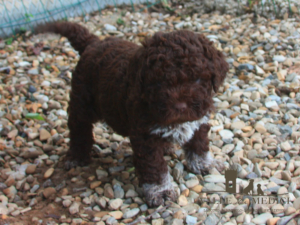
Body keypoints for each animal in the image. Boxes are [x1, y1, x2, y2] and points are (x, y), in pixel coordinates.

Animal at [36, 22, 229, 207]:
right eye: (158, 82)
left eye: (198, 78)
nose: (180, 106)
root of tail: (94, 43)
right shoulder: (145, 137)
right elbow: (154, 167)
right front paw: (160, 191)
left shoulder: (199, 120)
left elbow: (199, 144)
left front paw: (204, 164)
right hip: (82, 100)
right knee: (78, 127)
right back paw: (77, 156)